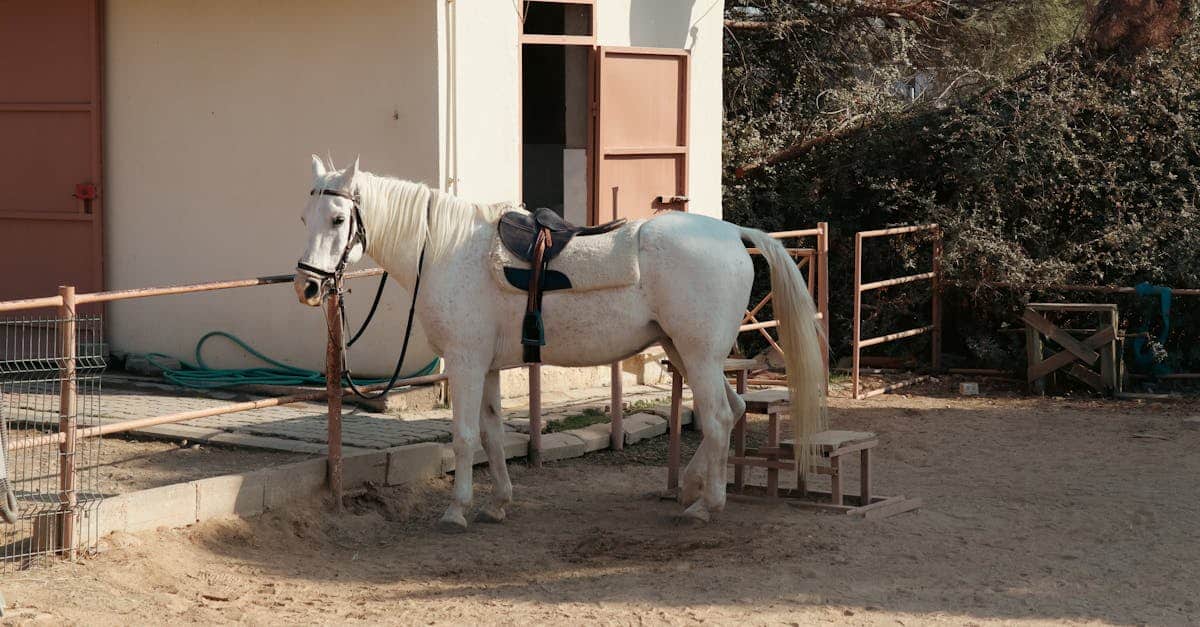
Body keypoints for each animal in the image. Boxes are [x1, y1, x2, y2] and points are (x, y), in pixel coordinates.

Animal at [293, 156, 826, 531]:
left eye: (338, 219)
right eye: (304, 217)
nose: (308, 287)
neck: (445, 250)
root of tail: (733, 234)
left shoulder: (465, 363)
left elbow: (463, 437)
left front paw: (456, 510)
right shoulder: (486, 366)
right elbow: (491, 434)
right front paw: (497, 504)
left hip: (697, 356)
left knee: (716, 418)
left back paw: (705, 506)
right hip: (688, 352)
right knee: (732, 411)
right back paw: (692, 488)